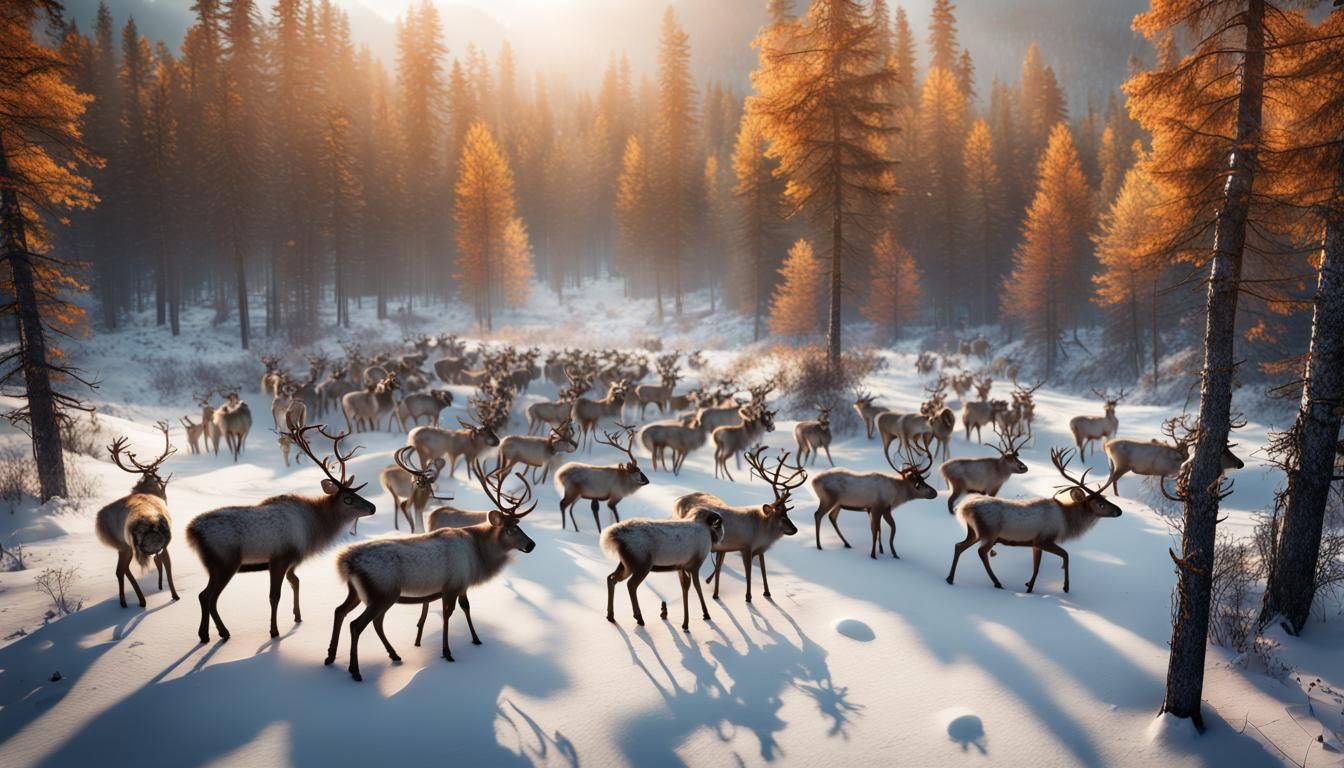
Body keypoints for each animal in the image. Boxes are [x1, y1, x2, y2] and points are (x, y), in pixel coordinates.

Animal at [96, 423, 179, 608]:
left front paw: (161, 587)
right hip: (128, 545)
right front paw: (175, 595)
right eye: (160, 481)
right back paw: (141, 600)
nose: (165, 496)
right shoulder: (166, 545)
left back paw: (124, 602)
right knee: (123, 569)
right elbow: (168, 569)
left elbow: (159, 565)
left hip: (122, 544)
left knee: (120, 570)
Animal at [186, 424, 376, 643]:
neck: (313, 528)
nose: (372, 507)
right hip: (225, 562)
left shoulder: (292, 560)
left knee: (204, 596)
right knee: (209, 597)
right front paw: (274, 631)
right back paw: (220, 632)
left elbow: (295, 582)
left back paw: (206, 633)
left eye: (357, 494)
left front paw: (298, 616)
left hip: (215, 565)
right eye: (347, 499)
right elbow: (274, 595)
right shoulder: (280, 557)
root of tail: (192, 531)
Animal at [327, 464, 537, 680]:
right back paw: (355, 670)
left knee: (342, 612)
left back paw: (339, 656)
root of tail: (346, 562)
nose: (531, 545)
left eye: (519, 526)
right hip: (382, 593)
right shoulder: (452, 585)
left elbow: (466, 607)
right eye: (511, 530)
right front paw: (447, 652)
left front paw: (476, 638)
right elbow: (448, 615)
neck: (479, 555)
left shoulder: (461, 584)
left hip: (359, 593)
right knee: (357, 625)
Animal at [672, 447, 805, 602]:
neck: (761, 529)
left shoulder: (759, 549)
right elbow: (749, 572)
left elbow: (763, 569)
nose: (795, 529)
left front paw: (767, 592)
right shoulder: (746, 546)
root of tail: (676, 502)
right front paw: (748, 597)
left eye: (787, 513)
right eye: (781, 515)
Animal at [947, 447, 1122, 593]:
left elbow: (1036, 568)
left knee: (958, 546)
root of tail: (964, 508)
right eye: (1100, 504)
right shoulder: (1044, 539)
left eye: (1105, 499)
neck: (1067, 520)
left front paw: (1029, 587)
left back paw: (950, 578)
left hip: (974, 531)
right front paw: (1065, 587)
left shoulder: (1035, 543)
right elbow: (1065, 556)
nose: (1119, 511)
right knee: (981, 551)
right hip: (989, 533)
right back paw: (997, 582)